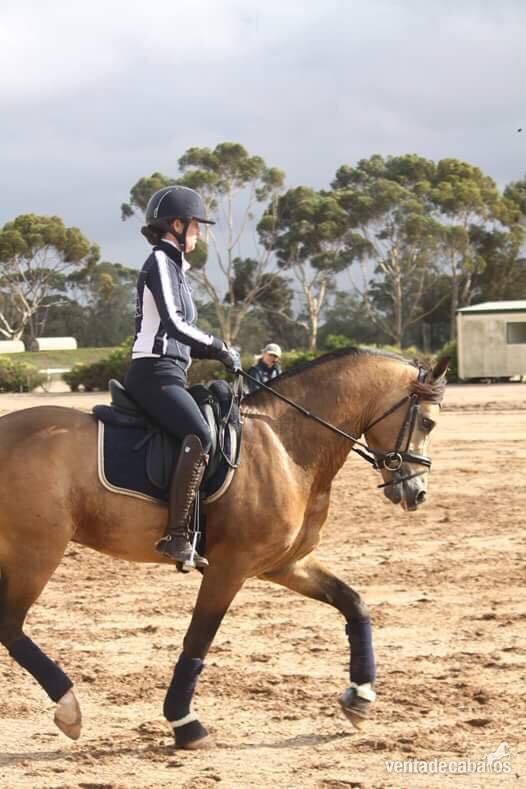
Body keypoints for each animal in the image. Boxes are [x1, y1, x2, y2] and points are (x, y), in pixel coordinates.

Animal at [0, 347, 448, 749]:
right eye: (427, 421)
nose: (417, 492)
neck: (288, 445)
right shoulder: (230, 566)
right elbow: (199, 638)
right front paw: (184, 723)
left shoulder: (286, 563)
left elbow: (353, 603)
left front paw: (360, 696)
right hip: (36, 552)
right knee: (10, 625)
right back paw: (69, 707)